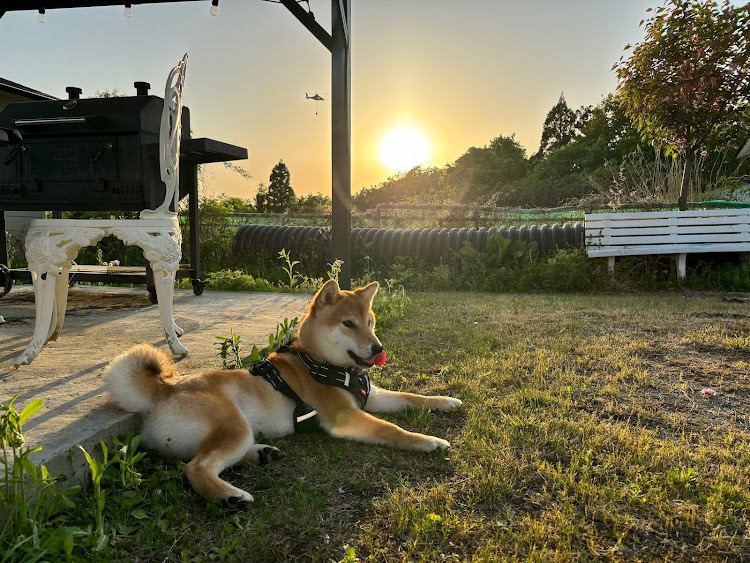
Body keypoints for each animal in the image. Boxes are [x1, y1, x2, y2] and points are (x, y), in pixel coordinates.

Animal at [105, 280, 458, 504]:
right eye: (349, 324)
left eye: (370, 321)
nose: (378, 348)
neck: (324, 363)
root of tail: (162, 391)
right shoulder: (343, 415)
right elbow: (392, 430)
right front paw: (429, 441)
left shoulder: (370, 397)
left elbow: (412, 398)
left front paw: (445, 400)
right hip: (234, 425)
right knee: (195, 467)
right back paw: (229, 496)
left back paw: (260, 454)